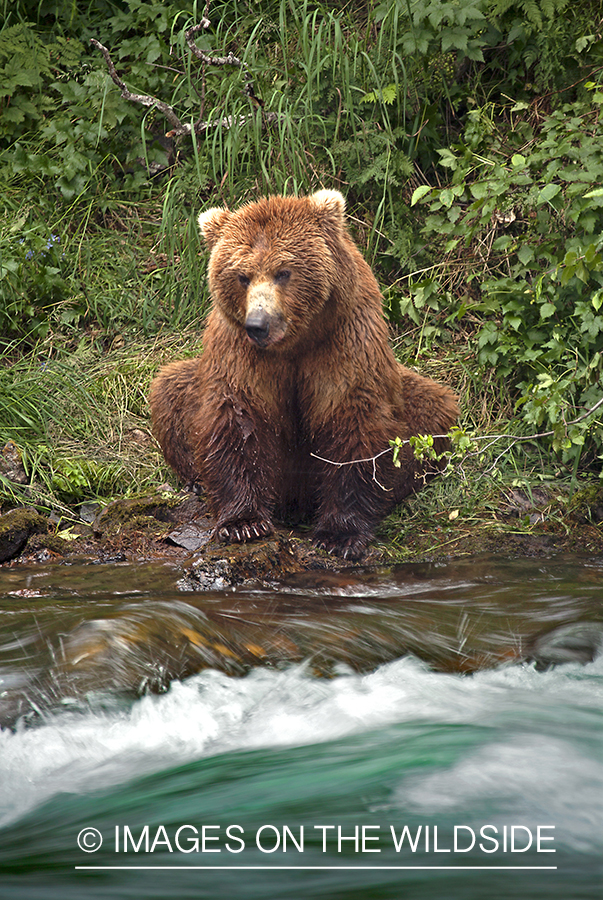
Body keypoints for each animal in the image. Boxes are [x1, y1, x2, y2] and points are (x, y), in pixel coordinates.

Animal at [150, 189, 458, 556]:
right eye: (242, 276)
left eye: (283, 271)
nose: (259, 324)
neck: (295, 343)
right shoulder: (240, 351)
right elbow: (237, 416)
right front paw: (243, 523)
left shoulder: (344, 341)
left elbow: (352, 419)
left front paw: (340, 534)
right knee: (169, 391)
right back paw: (196, 481)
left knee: (433, 409)